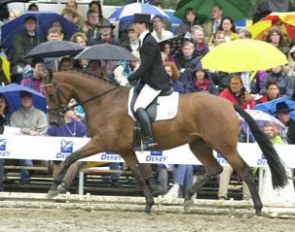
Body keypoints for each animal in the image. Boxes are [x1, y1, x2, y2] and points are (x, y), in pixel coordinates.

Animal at [42, 70, 288, 216]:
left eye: (51, 94)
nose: (54, 121)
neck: (104, 102)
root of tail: (229, 104)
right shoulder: (125, 150)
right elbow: (139, 174)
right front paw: (150, 200)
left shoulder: (101, 142)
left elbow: (71, 157)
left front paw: (54, 189)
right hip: (198, 144)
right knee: (214, 168)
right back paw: (188, 199)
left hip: (223, 145)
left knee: (243, 170)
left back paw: (258, 209)